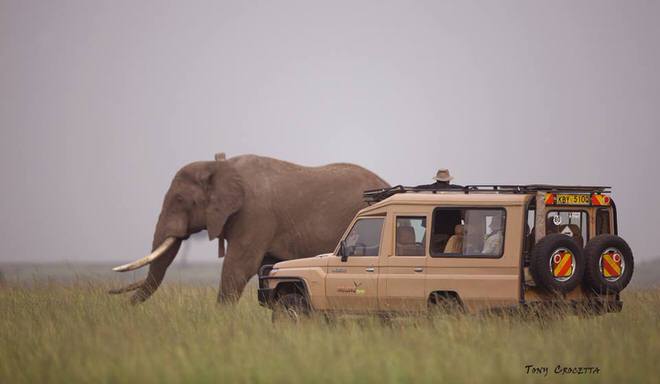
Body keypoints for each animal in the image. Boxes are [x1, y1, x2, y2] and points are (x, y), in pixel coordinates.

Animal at [111, 153, 390, 304]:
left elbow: (239, 266)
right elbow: (264, 268)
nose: (112, 296)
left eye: (179, 200)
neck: (218, 166)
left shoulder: (256, 213)